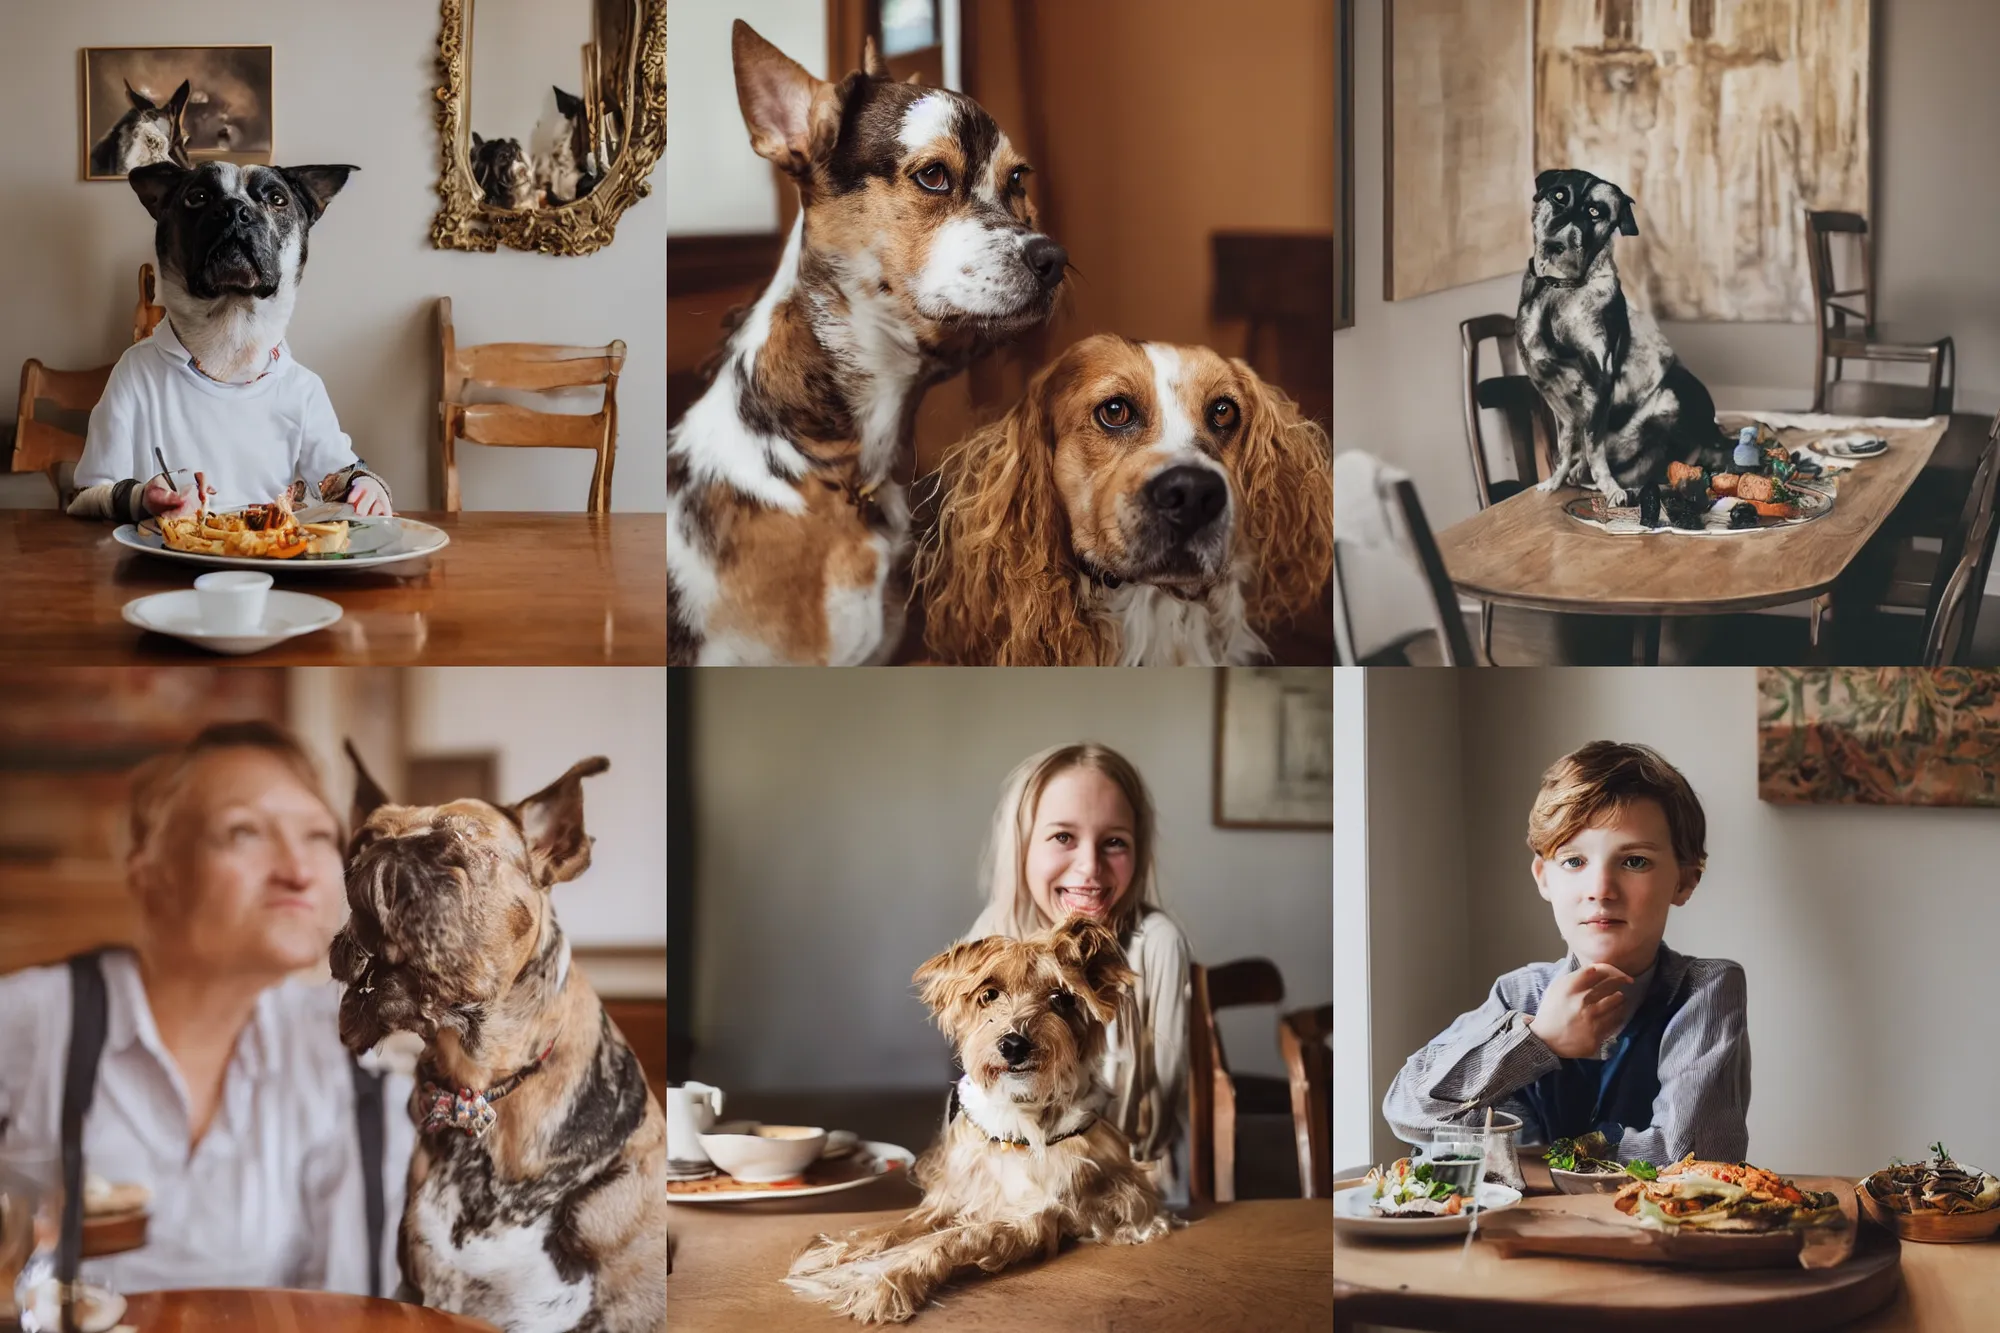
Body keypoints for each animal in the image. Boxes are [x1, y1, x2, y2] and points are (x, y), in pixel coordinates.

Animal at [780, 912, 1168, 1320]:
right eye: (988, 994)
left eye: (1061, 999)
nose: (1013, 1044)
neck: (1016, 1121)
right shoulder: (951, 1196)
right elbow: (896, 1227)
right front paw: (837, 1250)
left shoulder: (1032, 1213)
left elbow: (953, 1237)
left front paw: (876, 1281)